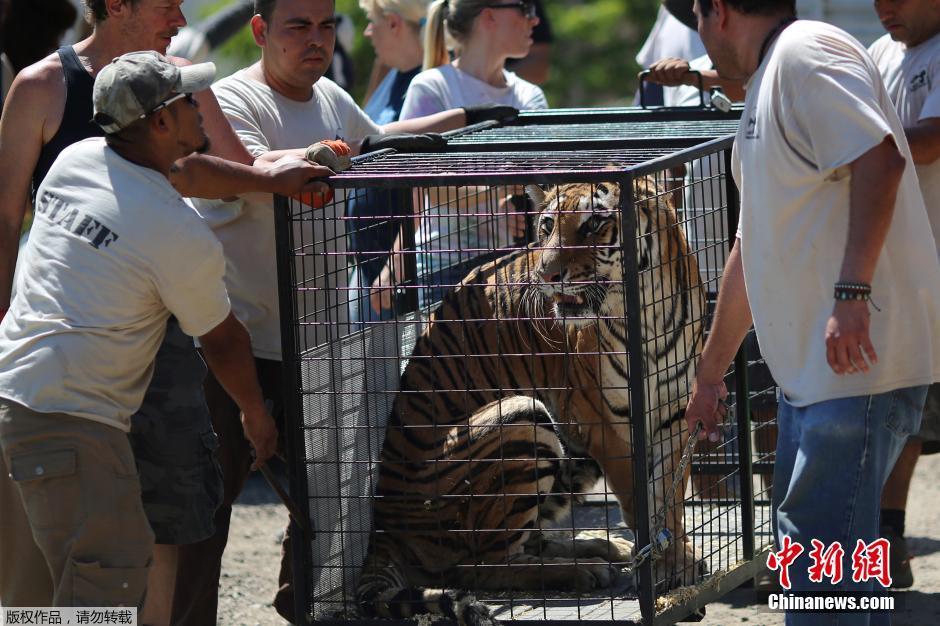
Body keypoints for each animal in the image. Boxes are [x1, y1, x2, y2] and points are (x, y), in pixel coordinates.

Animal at [358, 178, 704, 620]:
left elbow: (669, 496)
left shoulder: (675, 412)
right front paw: (660, 561)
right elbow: (637, 495)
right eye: (547, 226)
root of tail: (385, 525)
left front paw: (677, 561)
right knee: (482, 566)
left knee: (530, 540)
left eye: (593, 224)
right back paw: (583, 571)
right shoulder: (602, 419)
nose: (546, 274)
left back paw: (604, 547)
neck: (647, 308)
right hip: (523, 419)